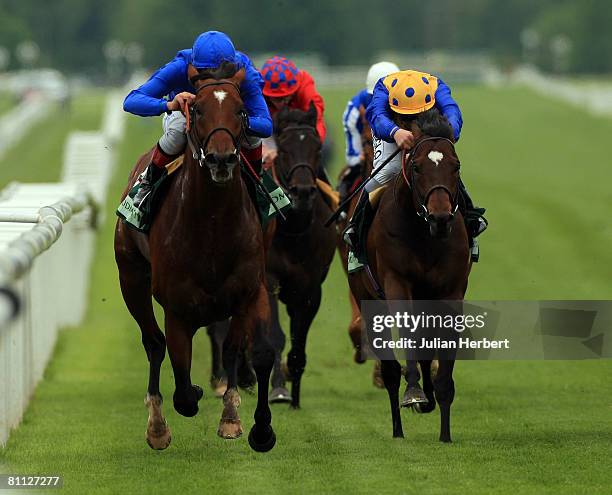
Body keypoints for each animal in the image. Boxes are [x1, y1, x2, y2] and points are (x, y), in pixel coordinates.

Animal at [113, 65, 276, 454]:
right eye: (197, 109)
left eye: (241, 110)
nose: (221, 159)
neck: (213, 224)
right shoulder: (177, 308)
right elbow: (184, 389)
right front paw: (192, 398)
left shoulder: (246, 292)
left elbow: (235, 348)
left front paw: (234, 418)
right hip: (131, 278)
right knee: (153, 343)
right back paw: (156, 426)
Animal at [346, 108, 470, 442]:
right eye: (416, 167)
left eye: (455, 166)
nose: (441, 218)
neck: (424, 234)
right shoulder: (396, 283)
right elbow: (408, 333)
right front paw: (414, 392)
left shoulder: (450, 292)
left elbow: (440, 349)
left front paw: (444, 428)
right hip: (367, 297)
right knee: (390, 369)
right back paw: (398, 428)